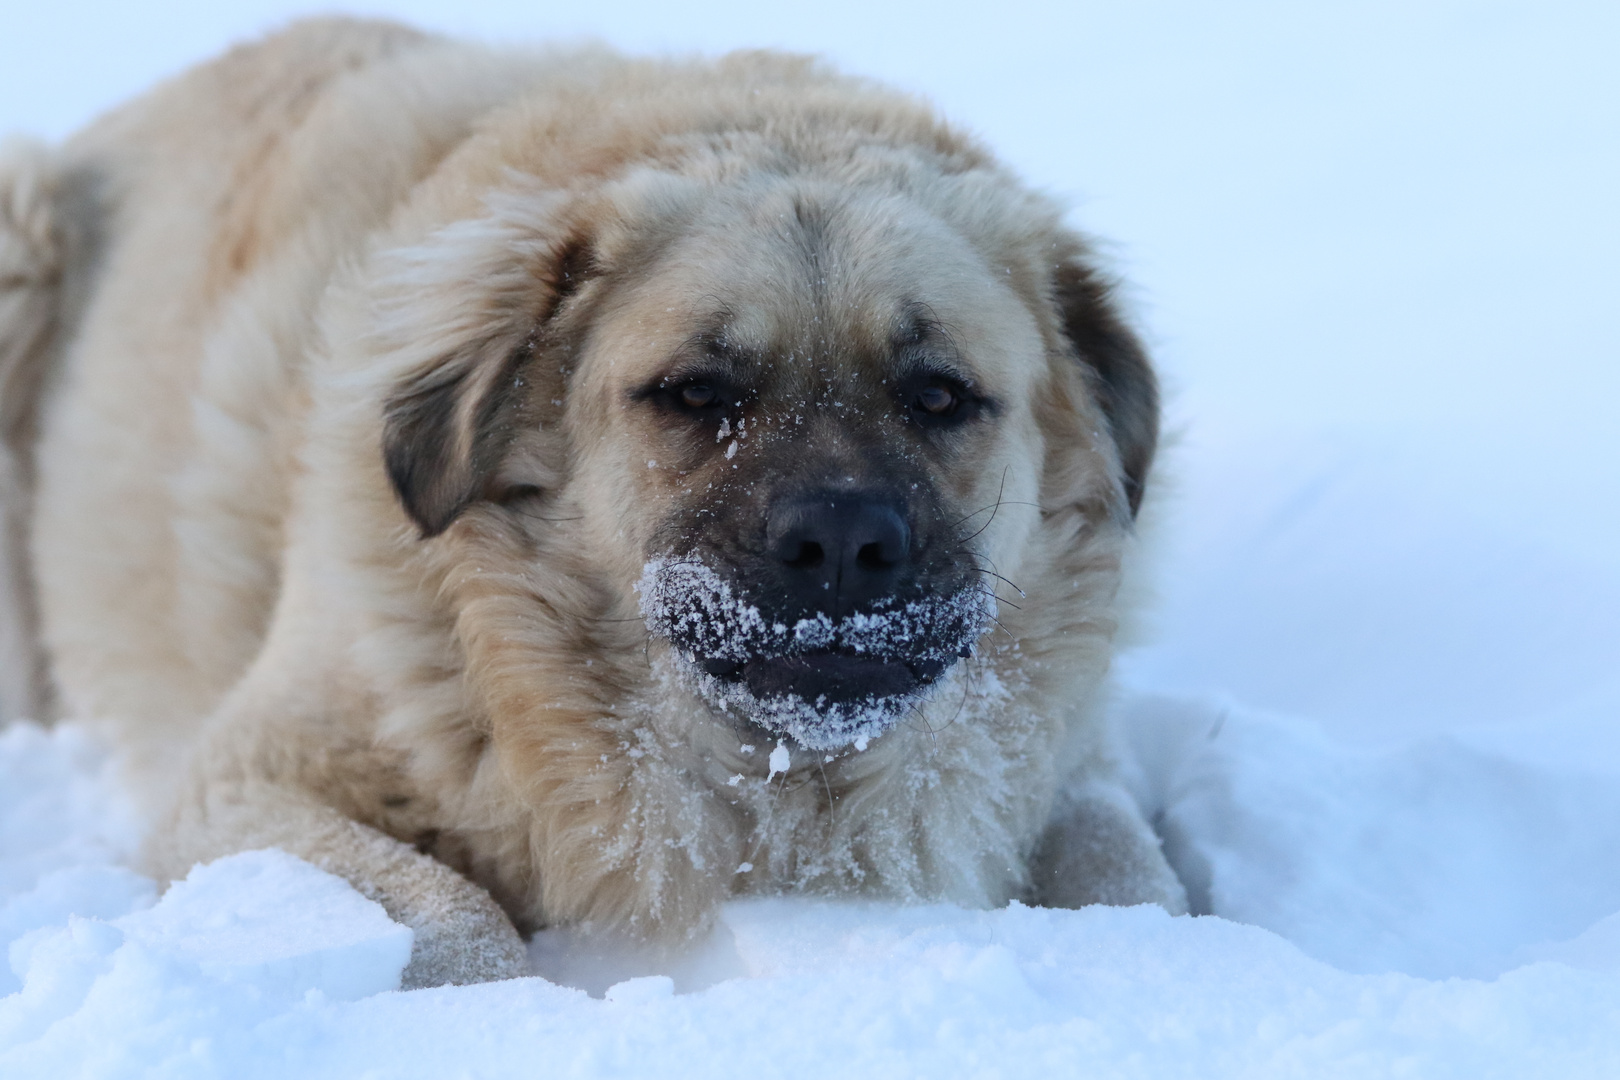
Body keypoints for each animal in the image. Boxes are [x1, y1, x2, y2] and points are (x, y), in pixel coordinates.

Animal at [0, 16, 1192, 990]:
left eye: (939, 395)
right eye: (696, 393)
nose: (844, 542)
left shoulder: (1068, 758)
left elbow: (1137, 877)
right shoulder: (247, 781)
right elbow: (460, 928)